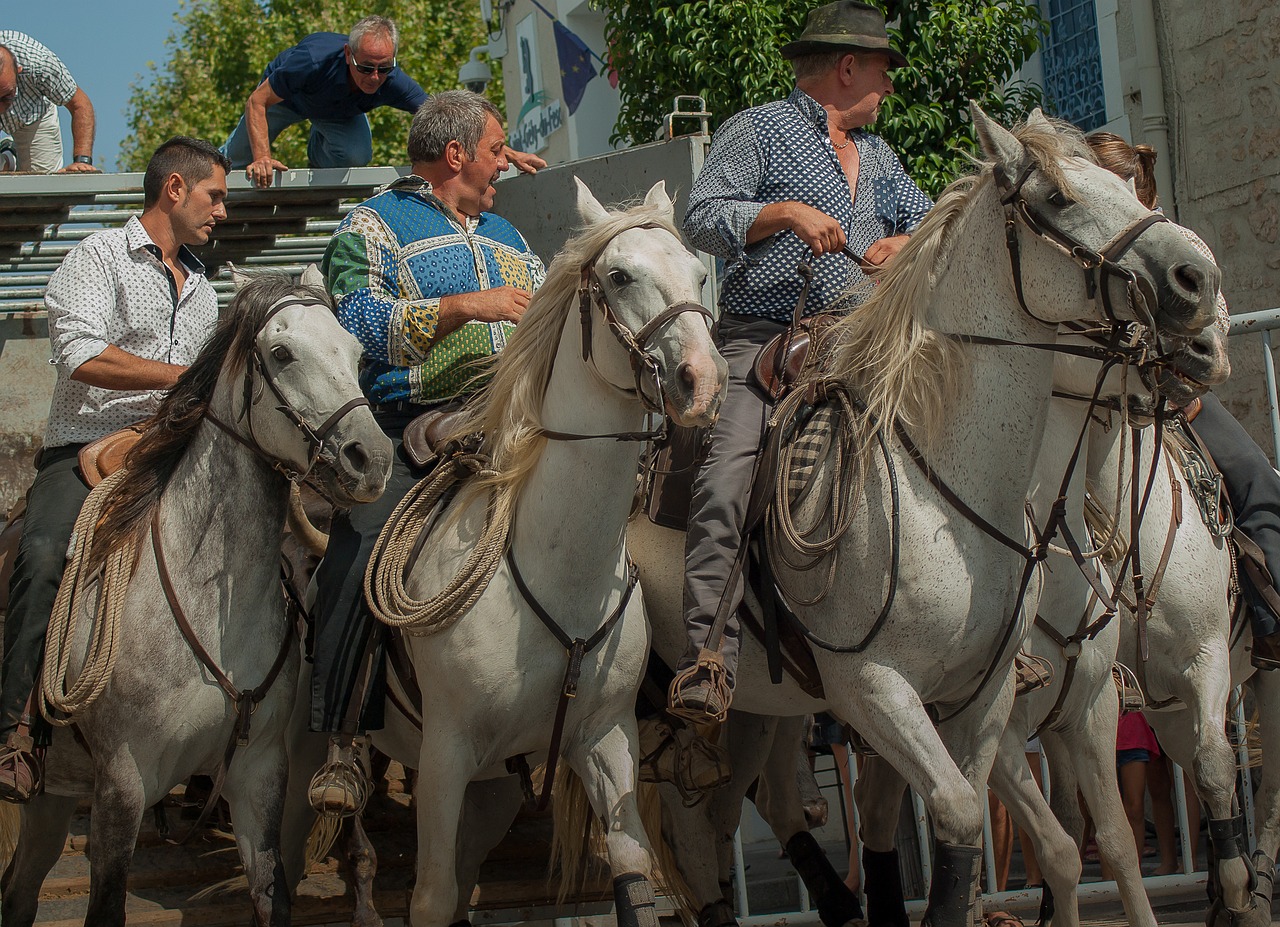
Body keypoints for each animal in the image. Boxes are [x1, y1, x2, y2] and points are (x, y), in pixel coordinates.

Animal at [0, 271, 391, 921]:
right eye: (281, 353)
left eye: (357, 354)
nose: (372, 459)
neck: (209, 610)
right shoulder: (123, 784)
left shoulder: (258, 777)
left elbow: (272, 895)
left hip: (53, 796)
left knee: (20, 891)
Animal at [335, 175, 727, 926]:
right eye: (619, 275)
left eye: (698, 274)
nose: (702, 381)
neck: (559, 568)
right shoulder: (445, 756)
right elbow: (432, 897)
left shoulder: (604, 737)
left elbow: (634, 874)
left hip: (494, 788)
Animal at [629, 104, 1218, 921]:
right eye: (1060, 196)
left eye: (1128, 186)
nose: (1201, 282)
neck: (941, 486)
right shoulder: (875, 688)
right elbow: (966, 818)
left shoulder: (988, 696)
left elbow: (1024, 843)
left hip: (758, 713)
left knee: (729, 820)